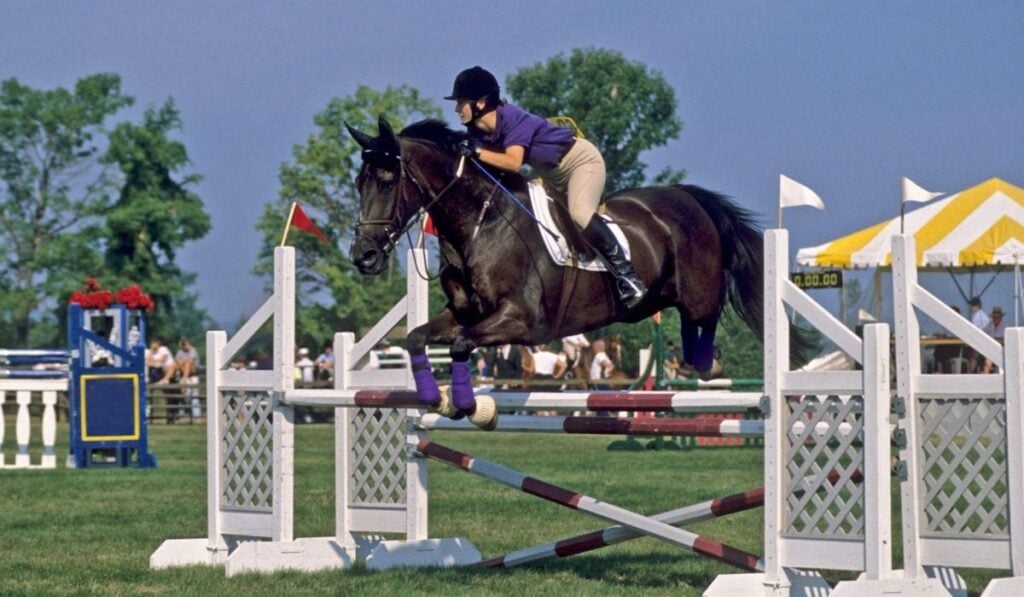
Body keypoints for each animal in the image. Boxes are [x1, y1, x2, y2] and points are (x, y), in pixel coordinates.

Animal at [346, 117, 815, 430]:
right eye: (358, 182)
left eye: (387, 181)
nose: (363, 256)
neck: (481, 224)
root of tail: (689, 198)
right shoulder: (464, 314)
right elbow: (417, 337)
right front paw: (434, 399)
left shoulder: (521, 322)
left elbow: (462, 344)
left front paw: (472, 407)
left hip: (699, 291)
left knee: (707, 314)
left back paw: (704, 362)